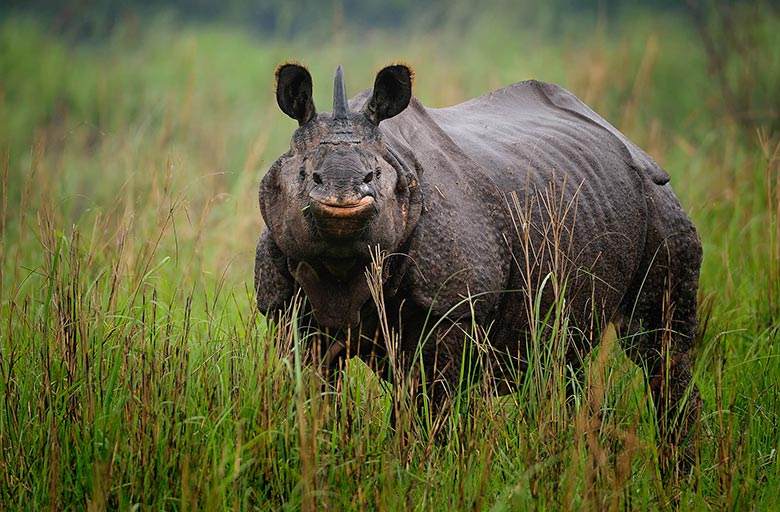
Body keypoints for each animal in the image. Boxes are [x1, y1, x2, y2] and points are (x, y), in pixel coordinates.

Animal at [254, 63, 700, 464]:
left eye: (375, 175)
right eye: (306, 175)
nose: (343, 194)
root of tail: (624, 138)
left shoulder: (451, 309)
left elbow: (428, 406)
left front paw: (419, 473)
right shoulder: (288, 310)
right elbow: (312, 393)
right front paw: (317, 458)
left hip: (658, 199)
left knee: (660, 347)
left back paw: (680, 475)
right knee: (561, 360)